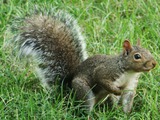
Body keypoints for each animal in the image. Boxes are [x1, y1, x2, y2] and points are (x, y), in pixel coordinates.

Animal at [13, 10, 156, 113]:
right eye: (137, 56)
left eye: (148, 51)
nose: (154, 63)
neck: (129, 72)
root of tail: (68, 93)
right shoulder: (107, 71)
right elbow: (101, 78)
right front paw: (116, 91)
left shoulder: (130, 85)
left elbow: (127, 100)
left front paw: (126, 115)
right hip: (84, 90)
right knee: (86, 106)